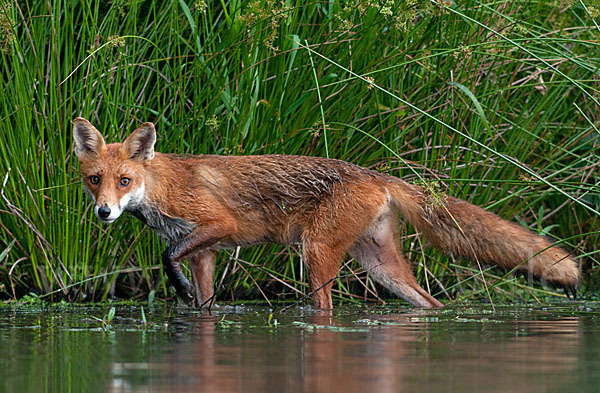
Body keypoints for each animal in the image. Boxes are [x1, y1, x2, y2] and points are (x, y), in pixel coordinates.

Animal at [72, 118, 580, 308]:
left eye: (125, 181)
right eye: (95, 179)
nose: (104, 213)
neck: (161, 189)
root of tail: (377, 175)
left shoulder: (217, 224)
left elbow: (168, 256)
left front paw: (174, 284)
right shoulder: (205, 254)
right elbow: (202, 299)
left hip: (315, 254)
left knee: (325, 311)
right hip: (381, 268)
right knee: (430, 303)